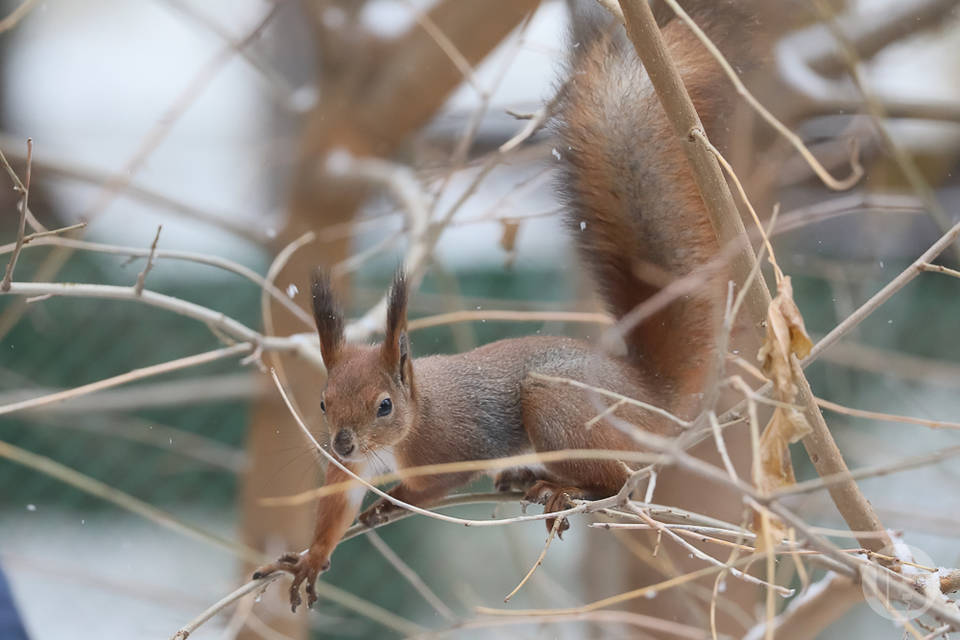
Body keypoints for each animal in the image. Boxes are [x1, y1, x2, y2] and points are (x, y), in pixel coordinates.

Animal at [253, 0, 756, 608]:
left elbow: (435, 486)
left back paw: (560, 487)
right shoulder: (348, 470)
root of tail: (650, 398)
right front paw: (311, 557)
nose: (342, 444)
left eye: (384, 406)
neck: (409, 425)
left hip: (560, 406)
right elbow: (336, 505)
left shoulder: (452, 448)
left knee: (617, 483)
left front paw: (393, 505)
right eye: (323, 403)